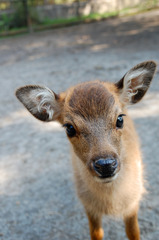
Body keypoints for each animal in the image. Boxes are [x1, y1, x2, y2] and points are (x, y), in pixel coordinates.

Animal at [16, 61, 157, 239]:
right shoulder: (88, 205)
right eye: (69, 128)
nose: (106, 165)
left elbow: (133, 232)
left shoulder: (133, 202)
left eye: (120, 119)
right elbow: (96, 233)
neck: (112, 203)